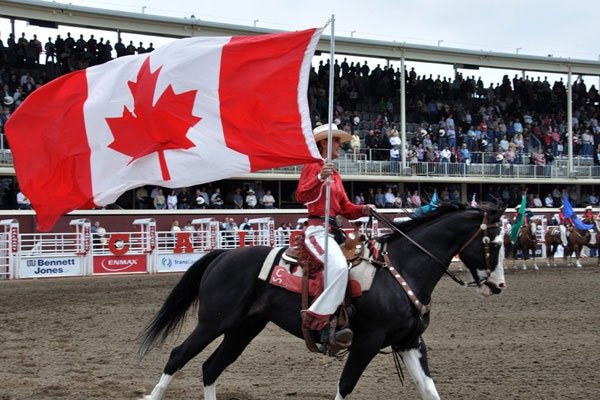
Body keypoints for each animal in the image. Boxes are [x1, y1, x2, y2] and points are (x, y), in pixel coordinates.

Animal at [139, 205, 506, 398]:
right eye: (495, 242)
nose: (498, 286)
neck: (401, 271)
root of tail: (223, 255)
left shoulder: (410, 342)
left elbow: (429, 389)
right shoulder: (367, 342)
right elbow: (345, 385)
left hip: (243, 329)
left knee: (210, 367)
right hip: (213, 322)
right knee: (178, 356)